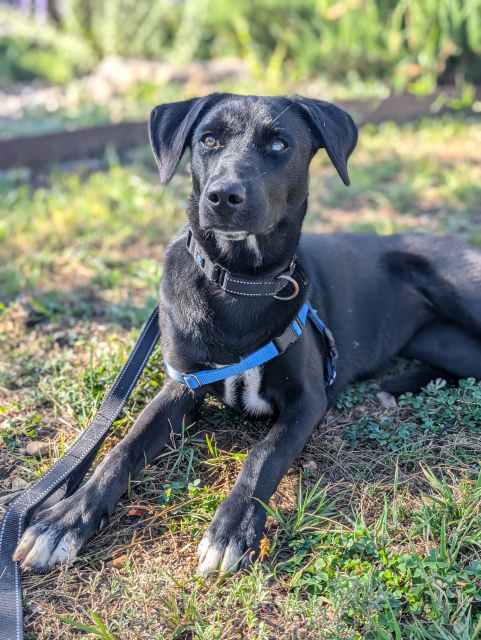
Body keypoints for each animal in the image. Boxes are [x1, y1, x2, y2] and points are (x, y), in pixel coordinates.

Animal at [13, 94, 480, 576]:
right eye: (208, 139)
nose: (223, 196)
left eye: (278, 144)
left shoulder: (308, 400)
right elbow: (122, 448)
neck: (240, 283)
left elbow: (263, 456)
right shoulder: (183, 383)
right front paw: (63, 521)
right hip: (439, 341)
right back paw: (398, 384)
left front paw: (230, 532)